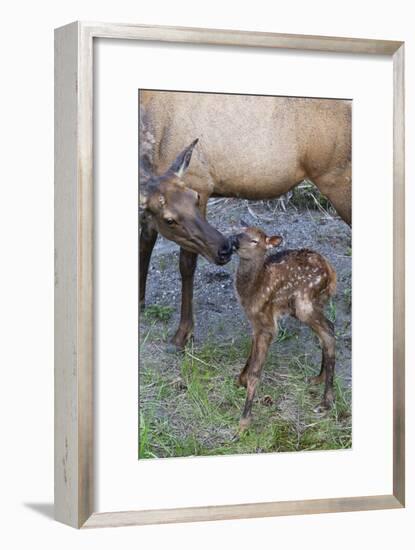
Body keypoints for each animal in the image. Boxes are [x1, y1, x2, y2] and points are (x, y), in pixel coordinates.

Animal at [140, 90, 352, 350]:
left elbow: (186, 263)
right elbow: (145, 241)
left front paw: (183, 333)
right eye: (169, 219)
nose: (225, 249)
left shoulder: (199, 181)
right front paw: (140, 303)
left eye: (195, 197)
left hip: (338, 181)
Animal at [231, 226, 338, 434]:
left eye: (255, 241)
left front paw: (244, 423)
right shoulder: (255, 323)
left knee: (328, 335)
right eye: (241, 232)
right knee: (329, 327)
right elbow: (251, 353)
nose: (234, 241)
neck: (251, 290)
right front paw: (241, 380)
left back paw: (325, 403)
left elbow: (256, 371)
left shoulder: (267, 323)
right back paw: (318, 378)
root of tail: (331, 273)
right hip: (308, 306)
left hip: (304, 304)